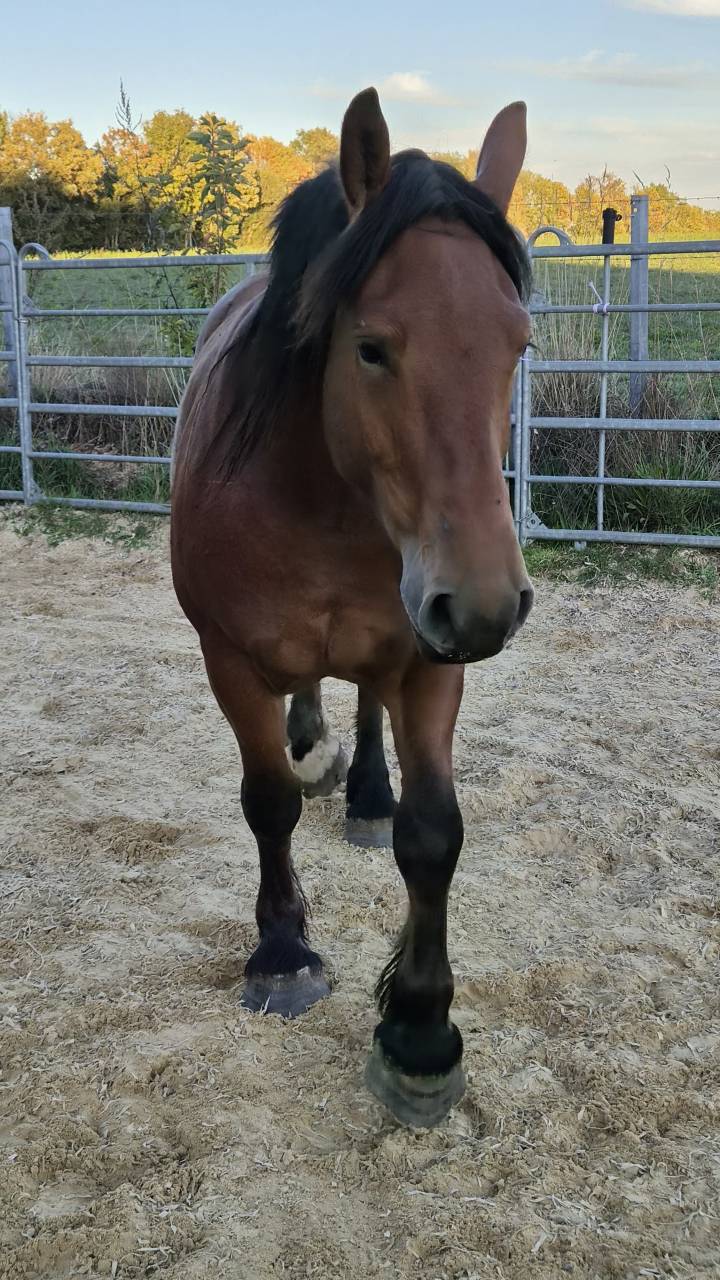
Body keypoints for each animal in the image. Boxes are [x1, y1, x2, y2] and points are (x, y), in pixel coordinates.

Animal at [170, 87, 533, 1128]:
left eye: (518, 345)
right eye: (371, 348)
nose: (487, 604)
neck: (318, 498)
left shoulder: (429, 658)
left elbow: (435, 835)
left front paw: (419, 1031)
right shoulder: (228, 659)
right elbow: (266, 804)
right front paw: (283, 953)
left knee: (366, 701)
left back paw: (367, 788)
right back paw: (314, 748)